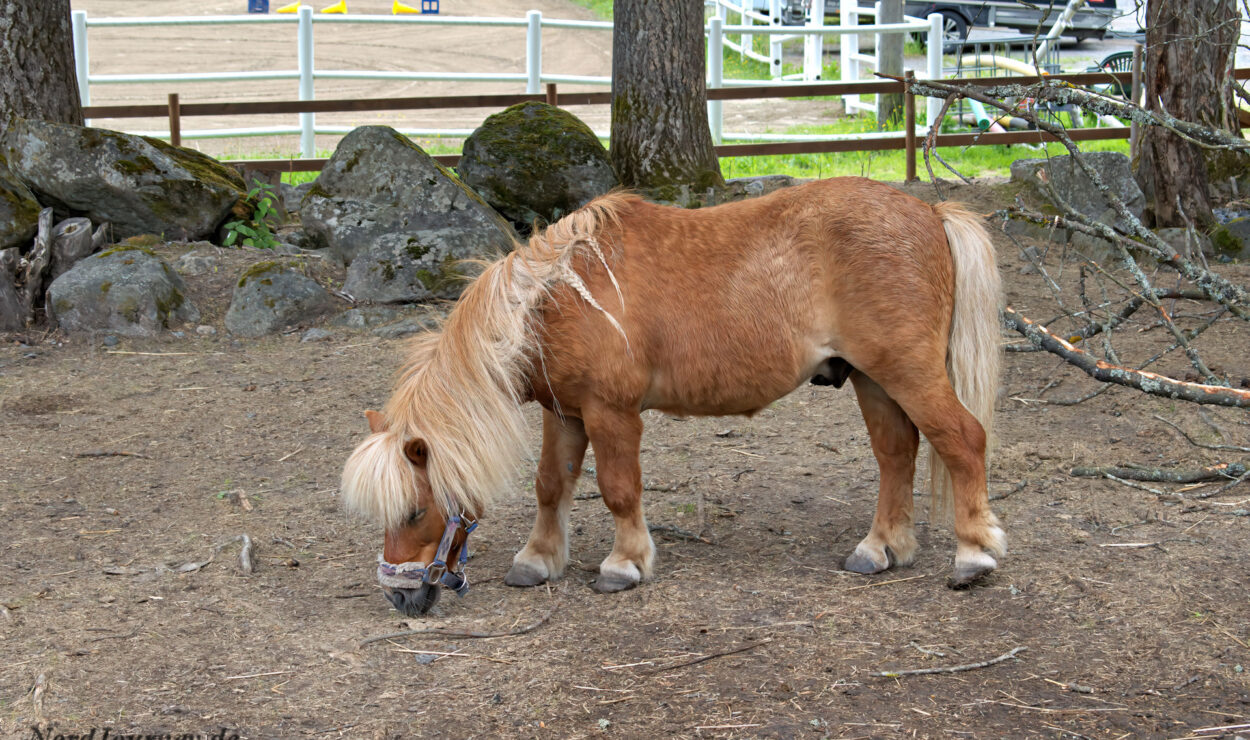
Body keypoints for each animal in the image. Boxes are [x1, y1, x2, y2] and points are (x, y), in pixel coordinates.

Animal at [342, 176, 1005, 615]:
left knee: (962, 441)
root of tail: (930, 211)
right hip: (873, 378)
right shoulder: (565, 413)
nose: (399, 596)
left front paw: (624, 564)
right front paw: (537, 560)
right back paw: (882, 547)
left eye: (414, 511)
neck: (558, 299)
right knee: (897, 455)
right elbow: (551, 485)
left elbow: (618, 490)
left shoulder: (611, 413)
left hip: (907, 372)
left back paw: (972, 556)